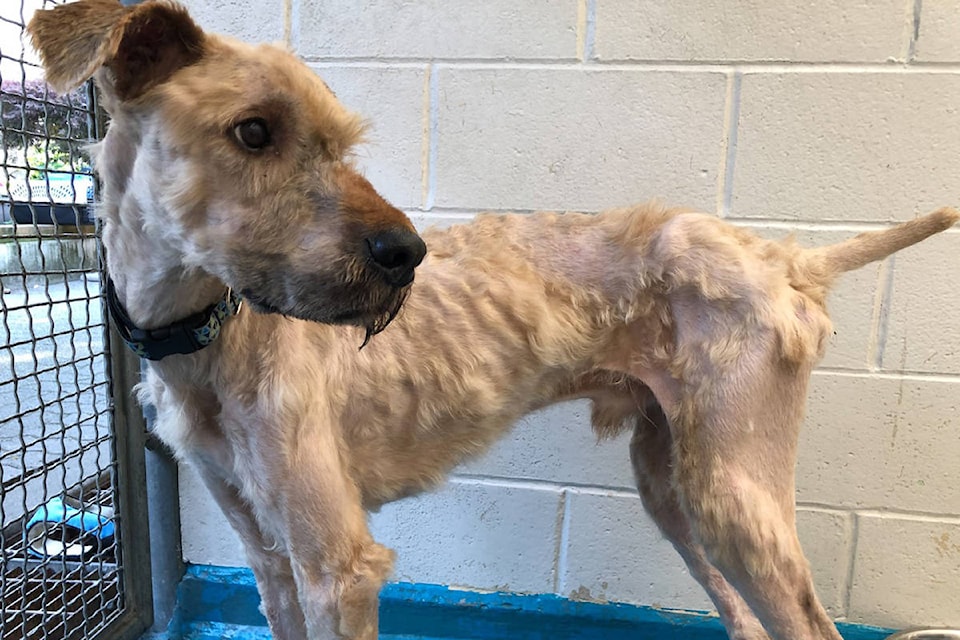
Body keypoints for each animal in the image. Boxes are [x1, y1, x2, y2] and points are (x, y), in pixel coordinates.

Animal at [30, 1, 960, 640]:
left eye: (342, 143)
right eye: (253, 131)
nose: (406, 254)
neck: (211, 334)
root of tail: (784, 259)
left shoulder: (339, 566)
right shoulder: (270, 557)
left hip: (732, 494)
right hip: (673, 484)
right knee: (744, 619)